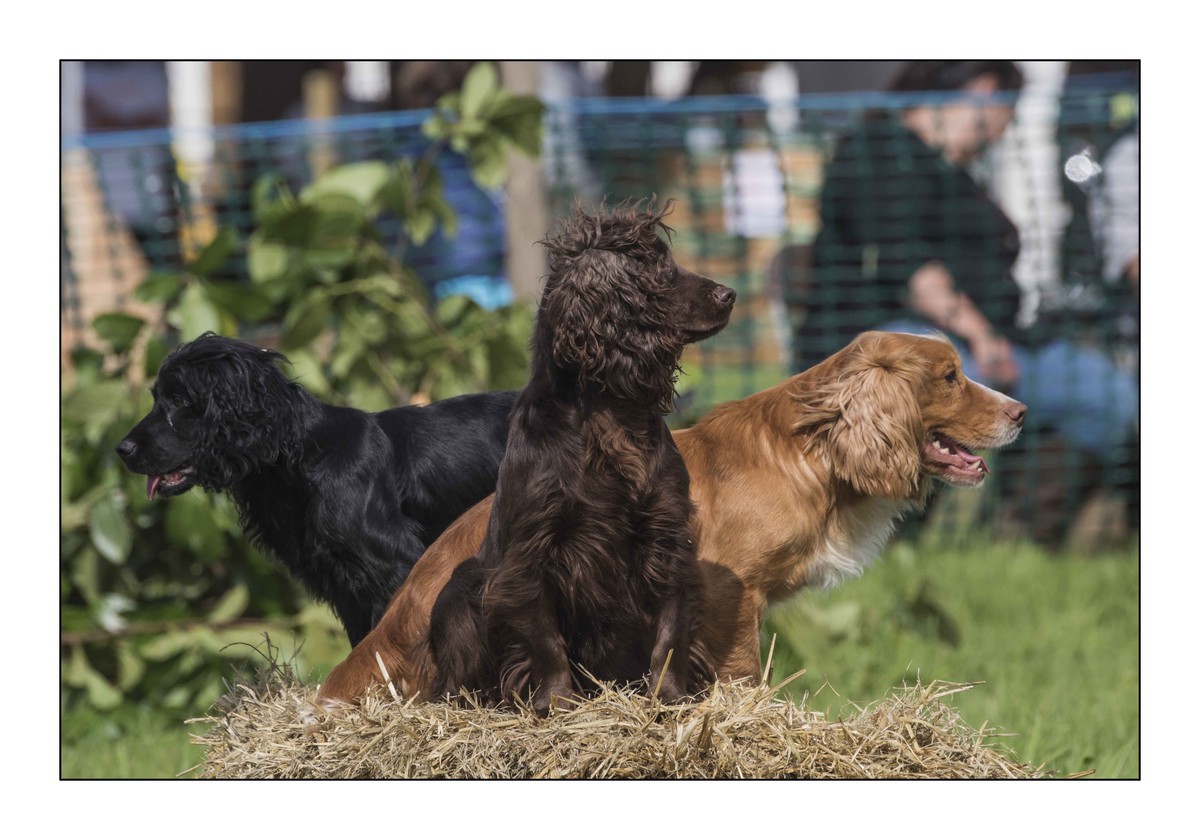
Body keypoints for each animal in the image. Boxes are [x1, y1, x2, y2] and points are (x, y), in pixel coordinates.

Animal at [113, 333, 520, 643]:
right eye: (156, 397)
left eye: (179, 400)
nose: (122, 449)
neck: (301, 460)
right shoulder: (340, 582)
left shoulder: (392, 564)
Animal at [427, 201, 734, 710]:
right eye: (658, 269)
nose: (729, 293)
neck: (610, 417)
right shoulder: (531, 552)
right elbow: (544, 639)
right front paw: (559, 704)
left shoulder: (667, 535)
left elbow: (671, 633)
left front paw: (668, 698)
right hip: (461, 584)